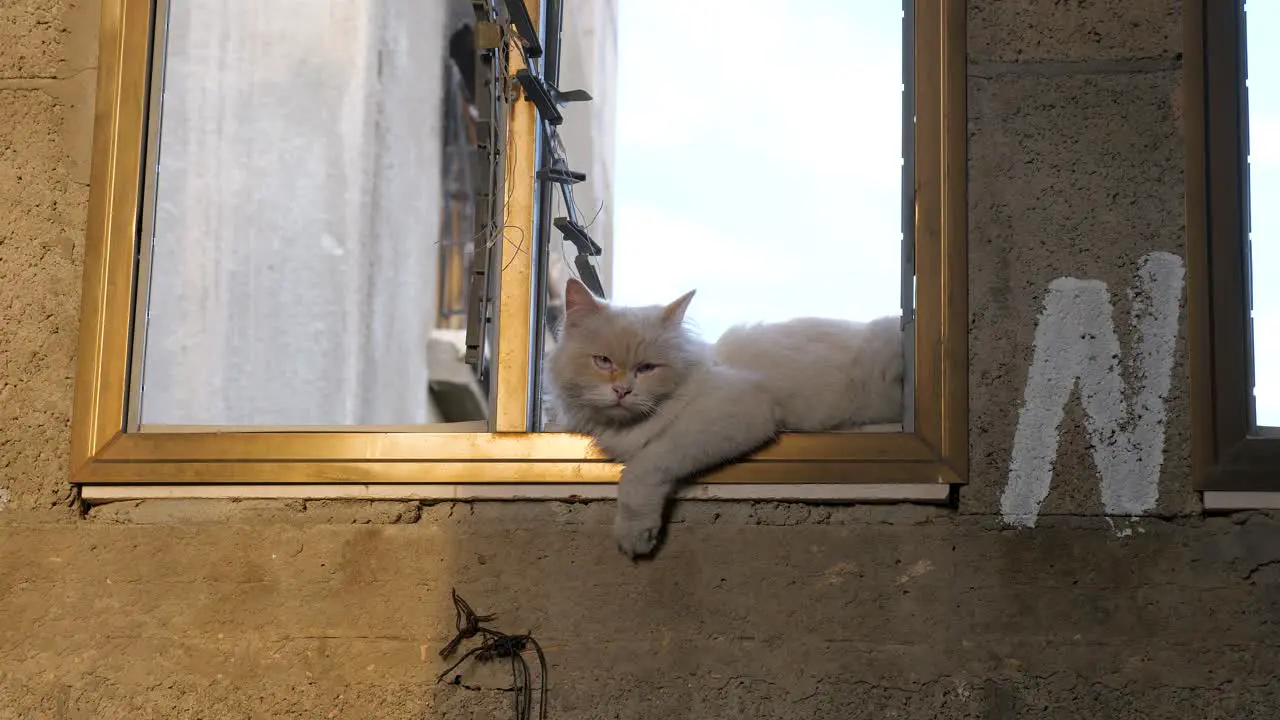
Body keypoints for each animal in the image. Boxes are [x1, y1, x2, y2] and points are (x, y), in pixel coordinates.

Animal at [545, 278, 906, 558]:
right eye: (602, 361)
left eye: (647, 368)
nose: (622, 391)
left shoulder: (731, 411)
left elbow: (642, 468)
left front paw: (635, 535)